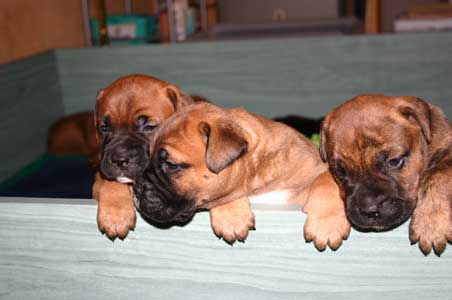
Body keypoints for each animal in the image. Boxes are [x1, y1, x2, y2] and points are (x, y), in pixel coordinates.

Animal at [132, 102, 350, 248]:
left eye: (172, 165)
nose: (136, 190)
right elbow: (226, 195)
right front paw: (232, 217)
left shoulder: (317, 168)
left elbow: (326, 180)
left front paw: (326, 224)